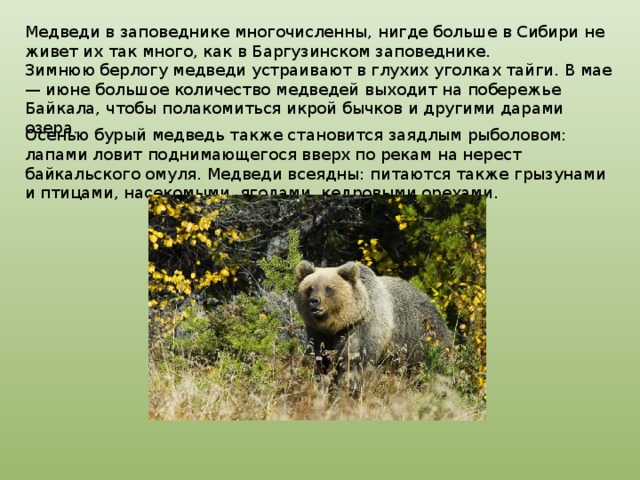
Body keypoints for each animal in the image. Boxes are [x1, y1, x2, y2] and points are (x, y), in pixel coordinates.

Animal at [295, 260, 451, 394]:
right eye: (310, 288)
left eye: (328, 288)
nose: (314, 301)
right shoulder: (319, 333)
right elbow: (321, 358)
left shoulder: (363, 327)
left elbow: (353, 360)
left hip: (422, 341)